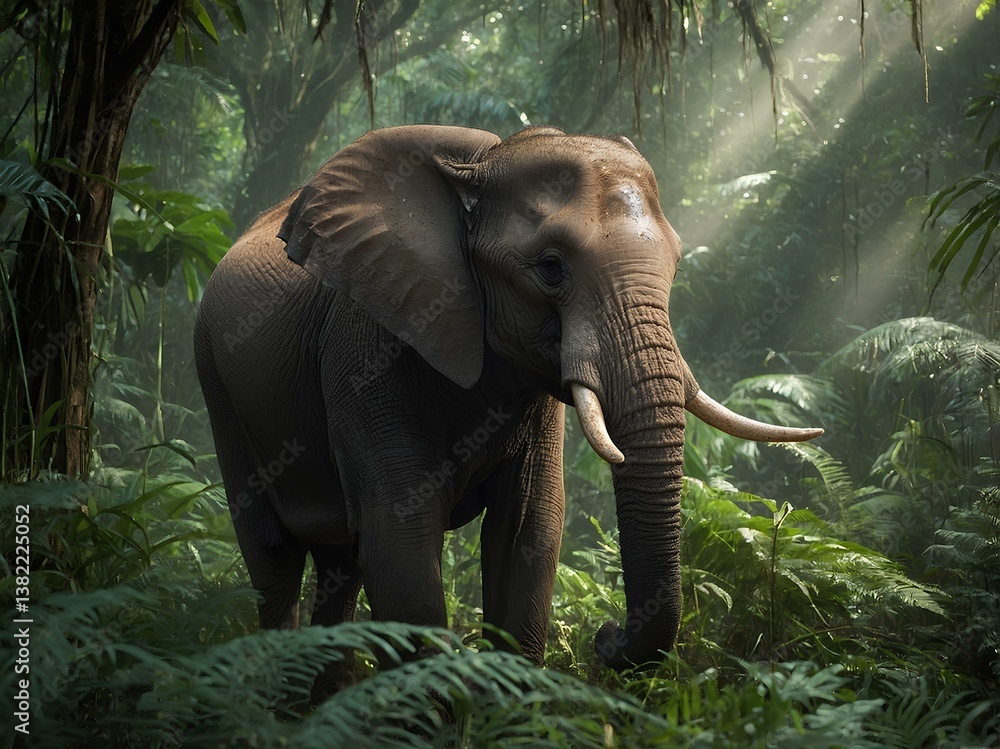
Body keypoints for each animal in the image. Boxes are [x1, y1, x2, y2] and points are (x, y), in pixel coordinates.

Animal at [194, 124, 822, 673]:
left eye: (676, 263)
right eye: (550, 268)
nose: (605, 638)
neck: (481, 167)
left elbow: (529, 531)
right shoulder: (365, 347)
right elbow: (400, 539)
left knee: (338, 564)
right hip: (215, 380)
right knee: (274, 557)